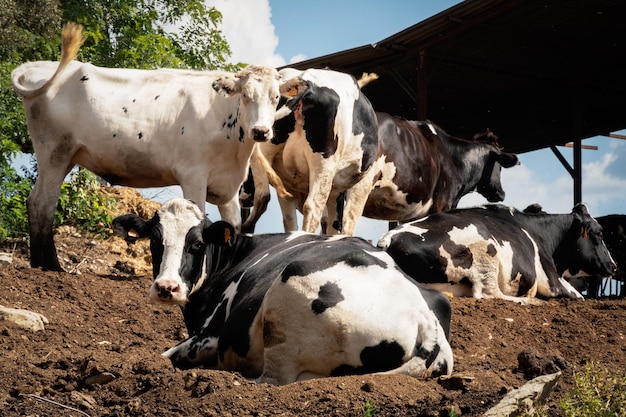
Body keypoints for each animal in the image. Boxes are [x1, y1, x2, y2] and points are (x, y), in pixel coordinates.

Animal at [12, 23, 282, 270]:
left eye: (276, 97)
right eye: (245, 95)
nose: (260, 131)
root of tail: (40, 67)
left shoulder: (229, 189)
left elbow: (232, 230)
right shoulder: (193, 175)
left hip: (64, 156)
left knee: (37, 201)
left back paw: (41, 263)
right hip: (54, 151)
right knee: (42, 204)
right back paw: (50, 267)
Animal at [113, 198, 454, 384]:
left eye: (197, 244)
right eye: (155, 241)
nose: (166, 287)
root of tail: (425, 322)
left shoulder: (209, 336)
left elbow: (162, 355)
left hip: (289, 296)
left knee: (272, 379)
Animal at [376, 202, 616, 302]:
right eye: (600, 233)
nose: (613, 266)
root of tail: (388, 241)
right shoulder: (552, 281)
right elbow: (578, 296)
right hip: (485, 252)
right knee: (490, 294)